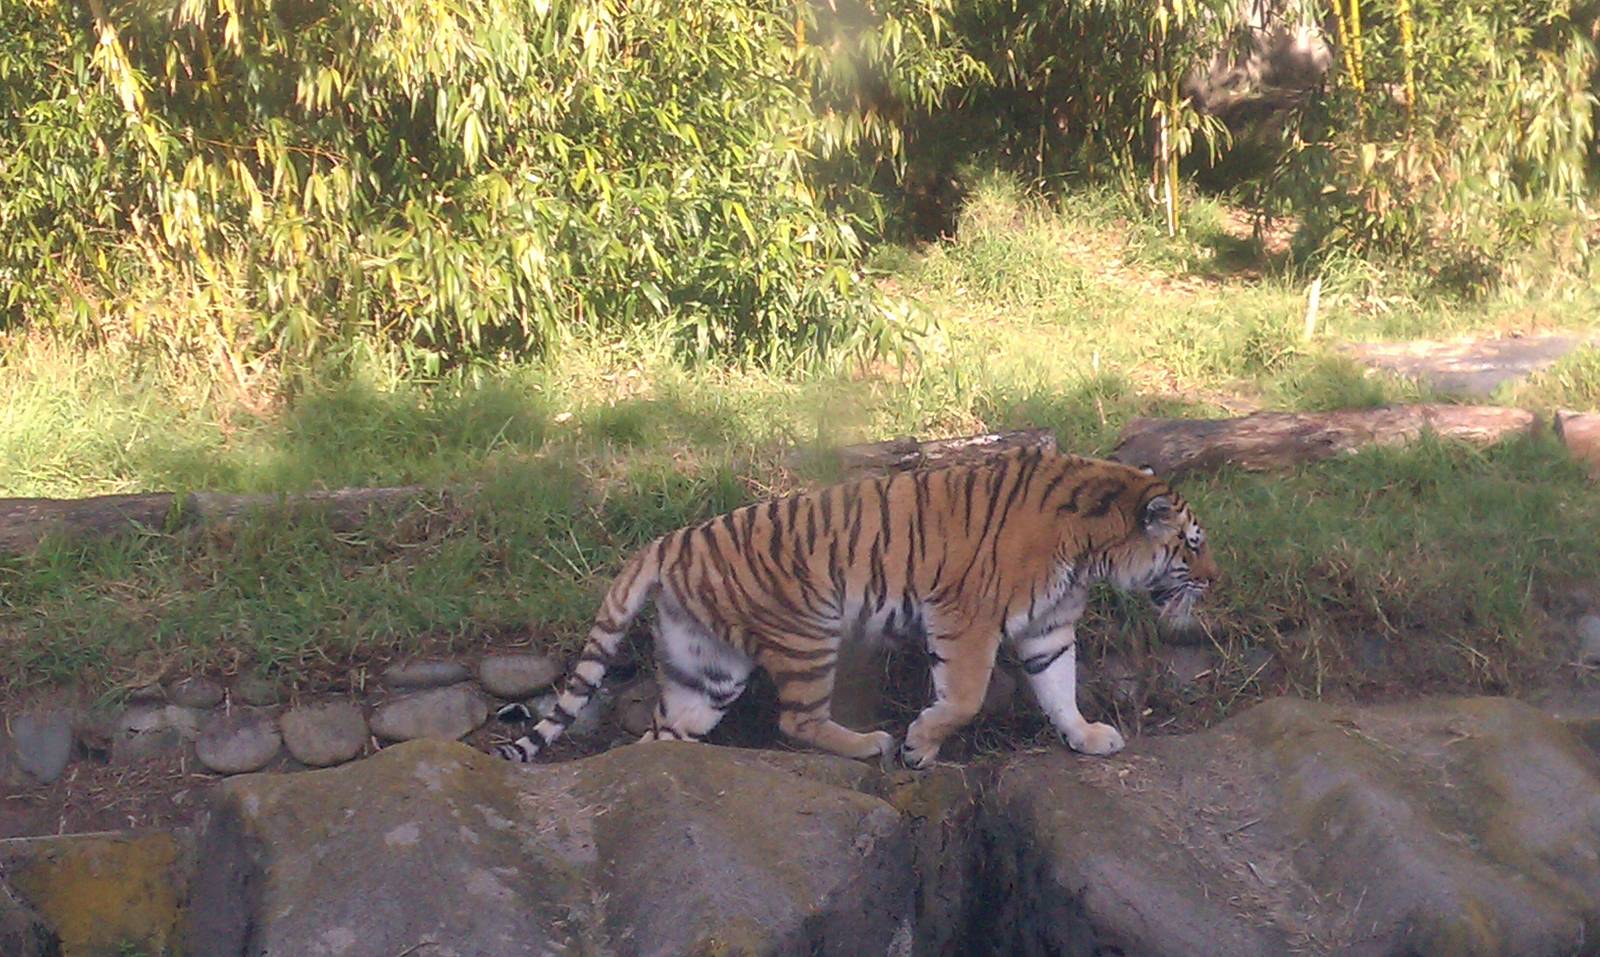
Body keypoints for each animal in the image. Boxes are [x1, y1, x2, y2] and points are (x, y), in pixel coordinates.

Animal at [492, 447, 1217, 769]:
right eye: (1192, 544)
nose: (1214, 580)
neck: (1090, 550)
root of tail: (668, 540)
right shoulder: (966, 618)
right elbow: (963, 698)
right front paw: (920, 745)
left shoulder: (1049, 627)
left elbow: (1061, 689)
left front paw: (1086, 736)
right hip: (807, 631)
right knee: (796, 720)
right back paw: (871, 743)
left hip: (707, 670)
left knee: (663, 733)